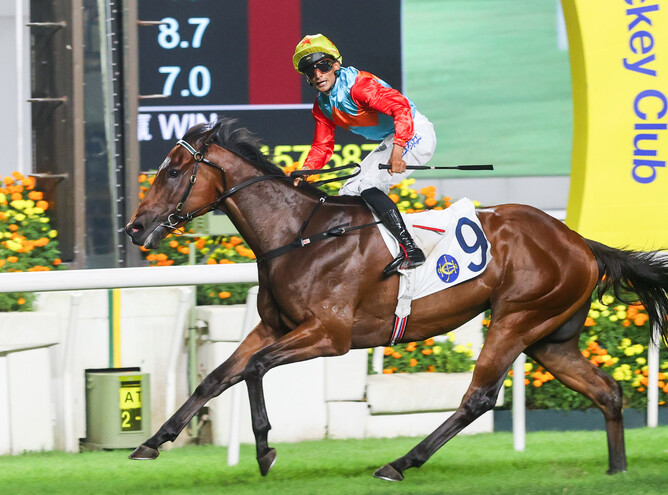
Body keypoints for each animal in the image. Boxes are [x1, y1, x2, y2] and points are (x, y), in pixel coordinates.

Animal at [125, 117, 668, 482]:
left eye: (173, 172)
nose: (135, 227)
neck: (298, 235)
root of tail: (580, 241)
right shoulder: (273, 327)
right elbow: (217, 377)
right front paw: (151, 442)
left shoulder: (330, 335)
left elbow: (255, 369)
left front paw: (264, 450)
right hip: (550, 338)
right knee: (606, 391)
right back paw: (617, 471)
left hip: (518, 318)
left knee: (478, 397)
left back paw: (400, 462)